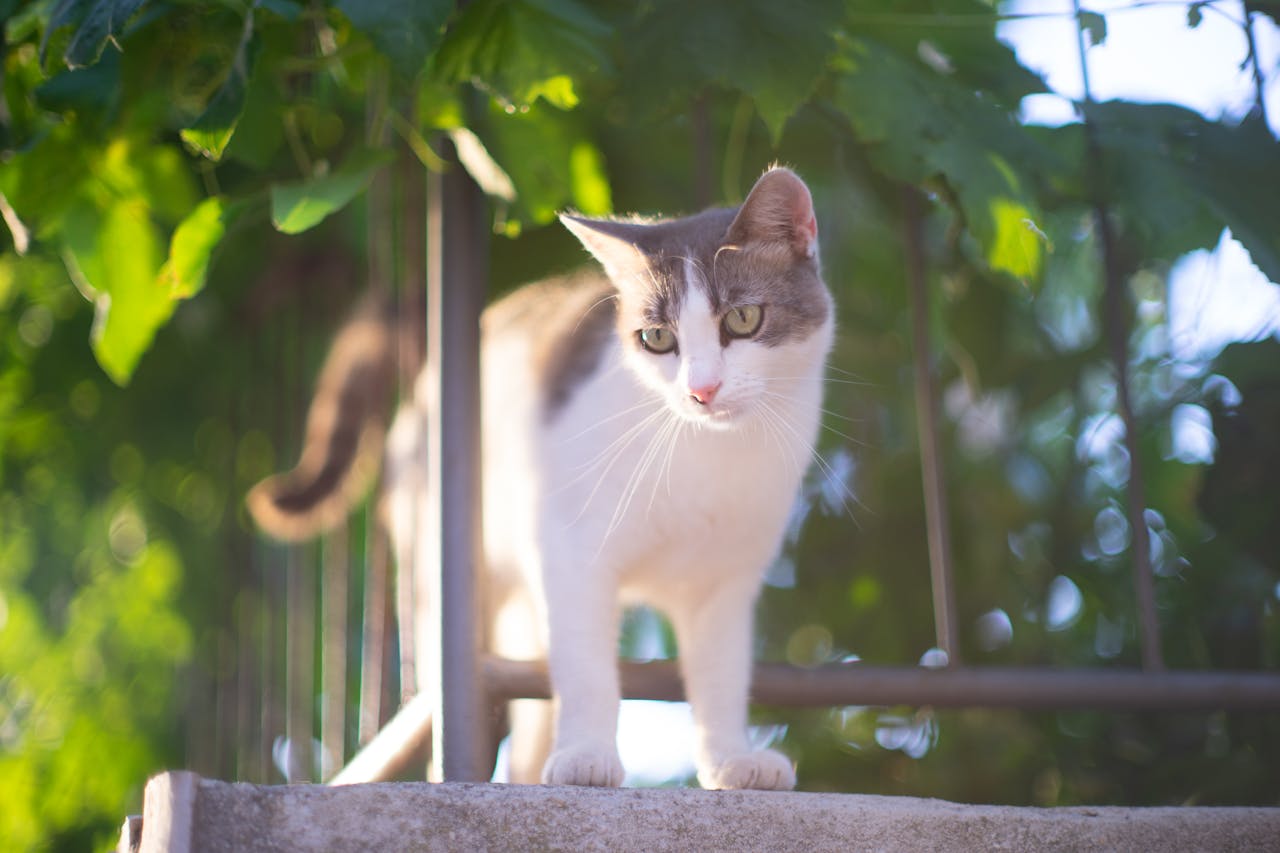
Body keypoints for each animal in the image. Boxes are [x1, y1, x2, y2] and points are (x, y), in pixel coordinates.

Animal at [248, 166, 829, 788]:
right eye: (657, 339)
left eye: (743, 319)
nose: (702, 390)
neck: (708, 456)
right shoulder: (571, 553)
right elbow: (587, 667)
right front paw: (587, 756)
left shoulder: (724, 585)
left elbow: (721, 678)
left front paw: (732, 760)